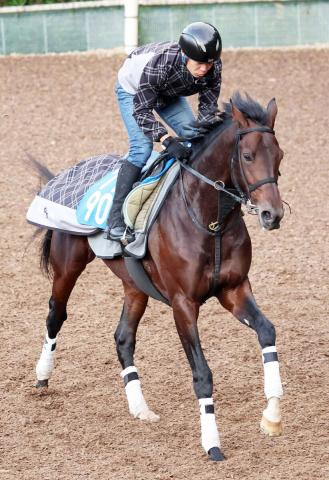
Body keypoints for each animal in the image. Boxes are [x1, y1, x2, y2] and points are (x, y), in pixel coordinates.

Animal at [34, 91, 284, 462]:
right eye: (248, 155)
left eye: (279, 155)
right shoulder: (183, 303)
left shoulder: (235, 289)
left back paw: (140, 408)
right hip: (69, 264)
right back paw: (42, 376)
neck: (211, 223)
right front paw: (212, 443)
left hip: (134, 284)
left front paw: (272, 416)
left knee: (123, 337)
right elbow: (202, 374)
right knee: (56, 314)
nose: (272, 214)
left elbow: (267, 331)